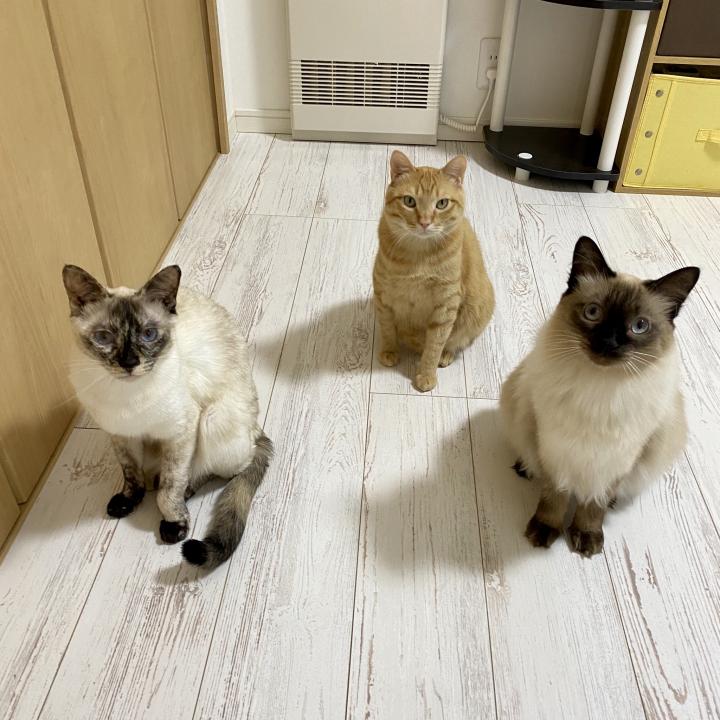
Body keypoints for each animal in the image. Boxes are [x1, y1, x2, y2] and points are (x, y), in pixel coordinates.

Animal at [62, 264, 272, 568]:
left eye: (149, 334)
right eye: (104, 338)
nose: (129, 363)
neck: (126, 397)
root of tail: (257, 427)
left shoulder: (181, 433)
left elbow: (170, 487)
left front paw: (174, 524)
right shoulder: (120, 434)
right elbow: (131, 474)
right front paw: (128, 501)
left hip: (213, 420)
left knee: (218, 470)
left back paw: (186, 490)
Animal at [373, 150, 495, 392]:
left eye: (442, 203)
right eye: (409, 201)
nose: (425, 222)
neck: (418, 256)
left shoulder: (445, 306)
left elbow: (434, 345)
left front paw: (427, 375)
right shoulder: (383, 294)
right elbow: (388, 328)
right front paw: (389, 351)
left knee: (456, 341)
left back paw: (446, 355)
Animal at [500, 236, 699, 557]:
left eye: (639, 326)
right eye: (593, 313)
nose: (608, 343)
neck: (599, 390)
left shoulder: (615, 460)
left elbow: (594, 505)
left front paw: (586, 535)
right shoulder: (556, 451)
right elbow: (555, 497)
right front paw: (545, 529)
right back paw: (525, 468)